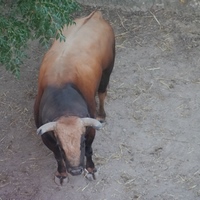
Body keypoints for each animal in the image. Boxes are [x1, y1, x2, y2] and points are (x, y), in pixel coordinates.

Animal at [34, 10, 115, 185]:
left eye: (82, 142)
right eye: (61, 145)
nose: (76, 170)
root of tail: (95, 15)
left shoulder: (90, 132)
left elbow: (89, 151)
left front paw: (90, 169)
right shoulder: (48, 139)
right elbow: (57, 157)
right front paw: (61, 174)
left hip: (107, 70)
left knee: (102, 92)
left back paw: (102, 114)